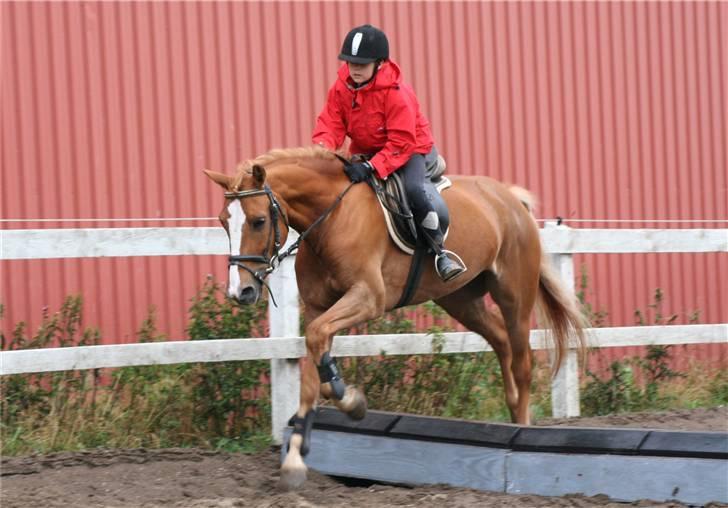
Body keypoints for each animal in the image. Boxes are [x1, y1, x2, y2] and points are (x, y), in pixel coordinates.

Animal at [203, 146, 584, 488]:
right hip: (460, 299)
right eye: (223, 221)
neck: (331, 219)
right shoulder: (317, 308)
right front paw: (297, 456)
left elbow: (317, 339)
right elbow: (313, 363)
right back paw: (511, 419)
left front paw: (349, 400)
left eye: (258, 221)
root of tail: (510, 200)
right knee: (501, 342)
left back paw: (523, 427)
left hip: (514, 294)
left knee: (521, 360)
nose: (241, 292)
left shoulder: (367, 297)